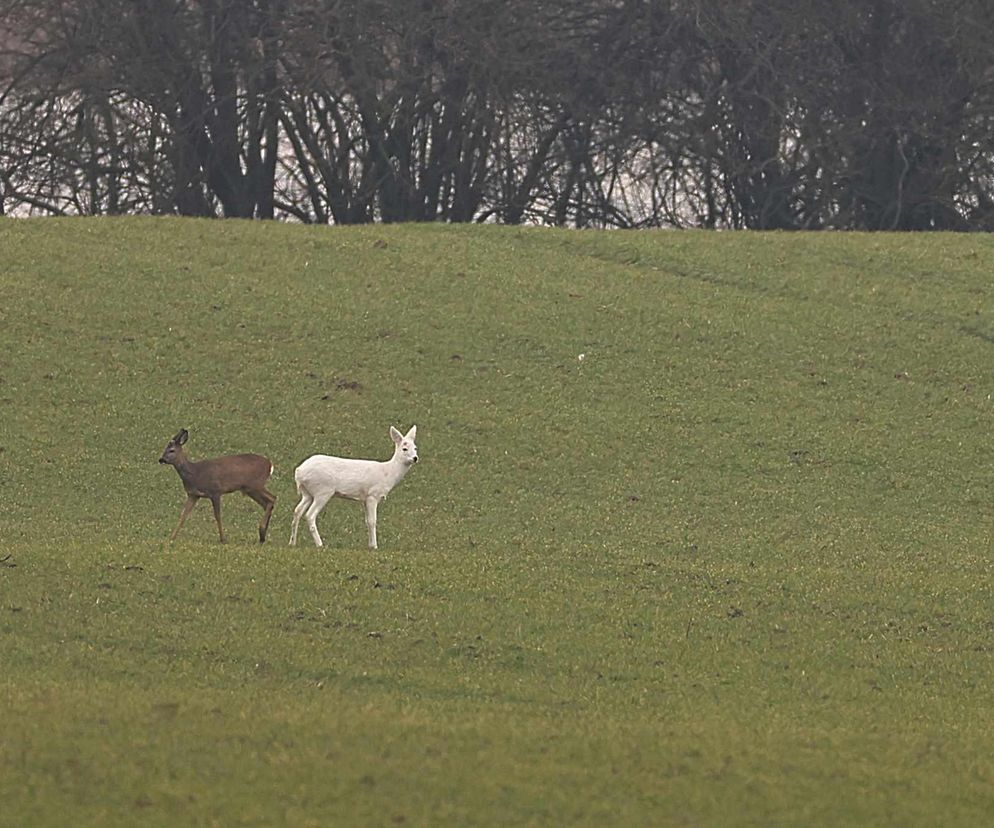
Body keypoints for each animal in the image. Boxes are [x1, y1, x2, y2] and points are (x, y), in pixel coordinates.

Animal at [288, 426, 416, 548]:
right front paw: (375, 546)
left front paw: (370, 545)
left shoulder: (365, 498)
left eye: (415, 448)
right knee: (310, 515)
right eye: (404, 448)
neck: (388, 473)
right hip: (322, 490)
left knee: (297, 511)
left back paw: (292, 543)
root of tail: (299, 472)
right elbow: (372, 521)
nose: (415, 458)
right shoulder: (372, 495)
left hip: (308, 493)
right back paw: (320, 544)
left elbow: (367, 521)